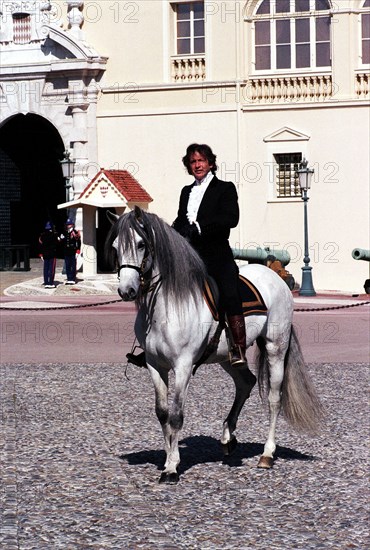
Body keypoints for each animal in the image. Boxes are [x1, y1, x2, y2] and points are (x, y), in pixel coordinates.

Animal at [105, 209, 322, 486]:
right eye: (115, 246)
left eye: (141, 244)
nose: (127, 290)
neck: (166, 305)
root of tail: (275, 277)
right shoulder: (155, 365)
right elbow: (162, 413)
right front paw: (168, 459)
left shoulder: (183, 365)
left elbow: (176, 415)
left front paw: (172, 468)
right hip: (226, 357)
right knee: (245, 382)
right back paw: (228, 437)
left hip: (276, 346)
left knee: (274, 398)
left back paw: (267, 454)